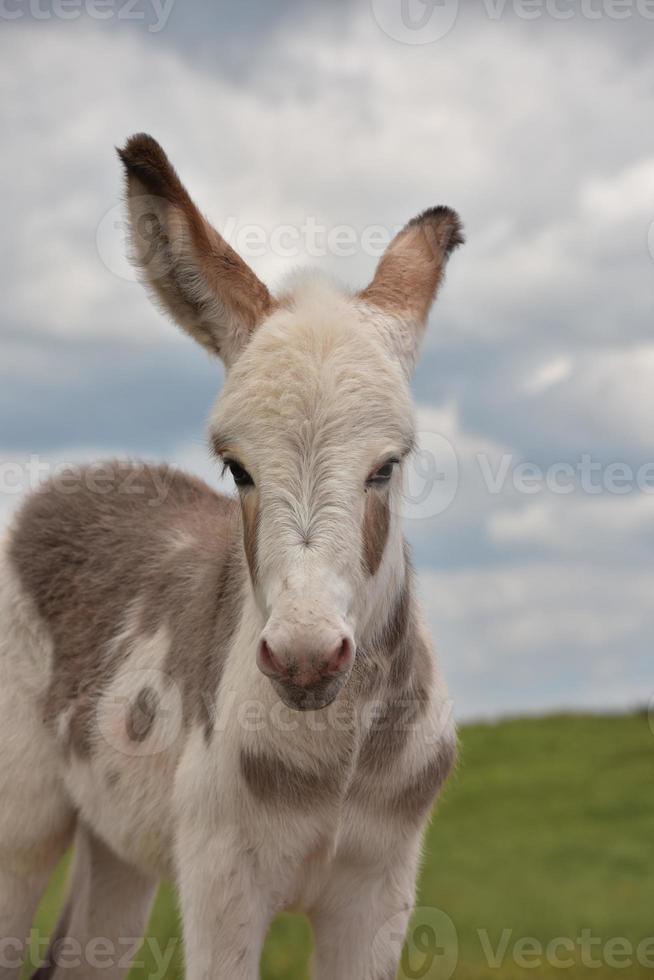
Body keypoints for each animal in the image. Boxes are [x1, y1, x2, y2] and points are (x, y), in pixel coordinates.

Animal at [0, 132, 464, 980]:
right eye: (236, 469)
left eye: (388, 466)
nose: (306, 658)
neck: (334, 761)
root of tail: (73, 479)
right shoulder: (222, 879)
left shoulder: (378, 890)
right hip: (22, 820)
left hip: (118, 843)